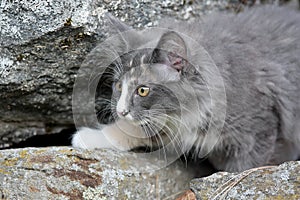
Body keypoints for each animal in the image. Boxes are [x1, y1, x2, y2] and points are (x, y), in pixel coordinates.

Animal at [72, 5, 300, 173]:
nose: (120, 111)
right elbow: (138, 129)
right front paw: (93, 137)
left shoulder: (259, 131)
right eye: (119, 85)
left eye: (143, 90)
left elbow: (246, 168)